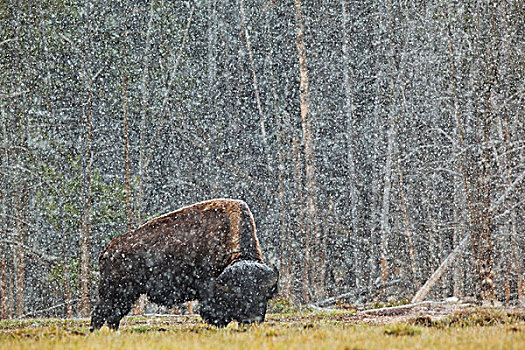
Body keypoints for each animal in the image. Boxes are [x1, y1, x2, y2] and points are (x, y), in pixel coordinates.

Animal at [90, 198, 278, 330]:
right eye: (238, 295)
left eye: (263, 295)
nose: (250, 320)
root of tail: (107, 250)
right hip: (115, 291)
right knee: (100, 315)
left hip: (127, 295)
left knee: (113, 317)